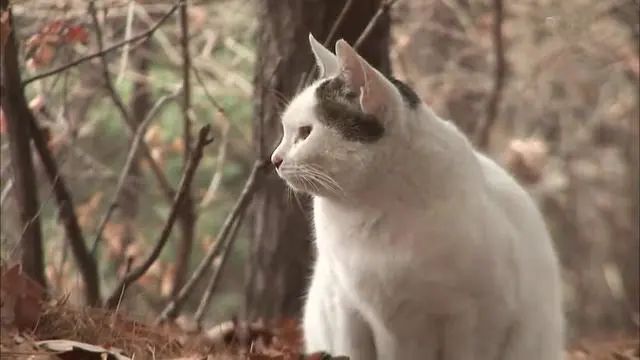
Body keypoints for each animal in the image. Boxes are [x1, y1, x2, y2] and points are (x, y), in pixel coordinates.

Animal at [272, 34, 564, 360]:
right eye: (286, 131)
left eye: (305, 132)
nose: (274, 159)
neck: (372, 208)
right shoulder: (356, 312)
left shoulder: (478, 317)